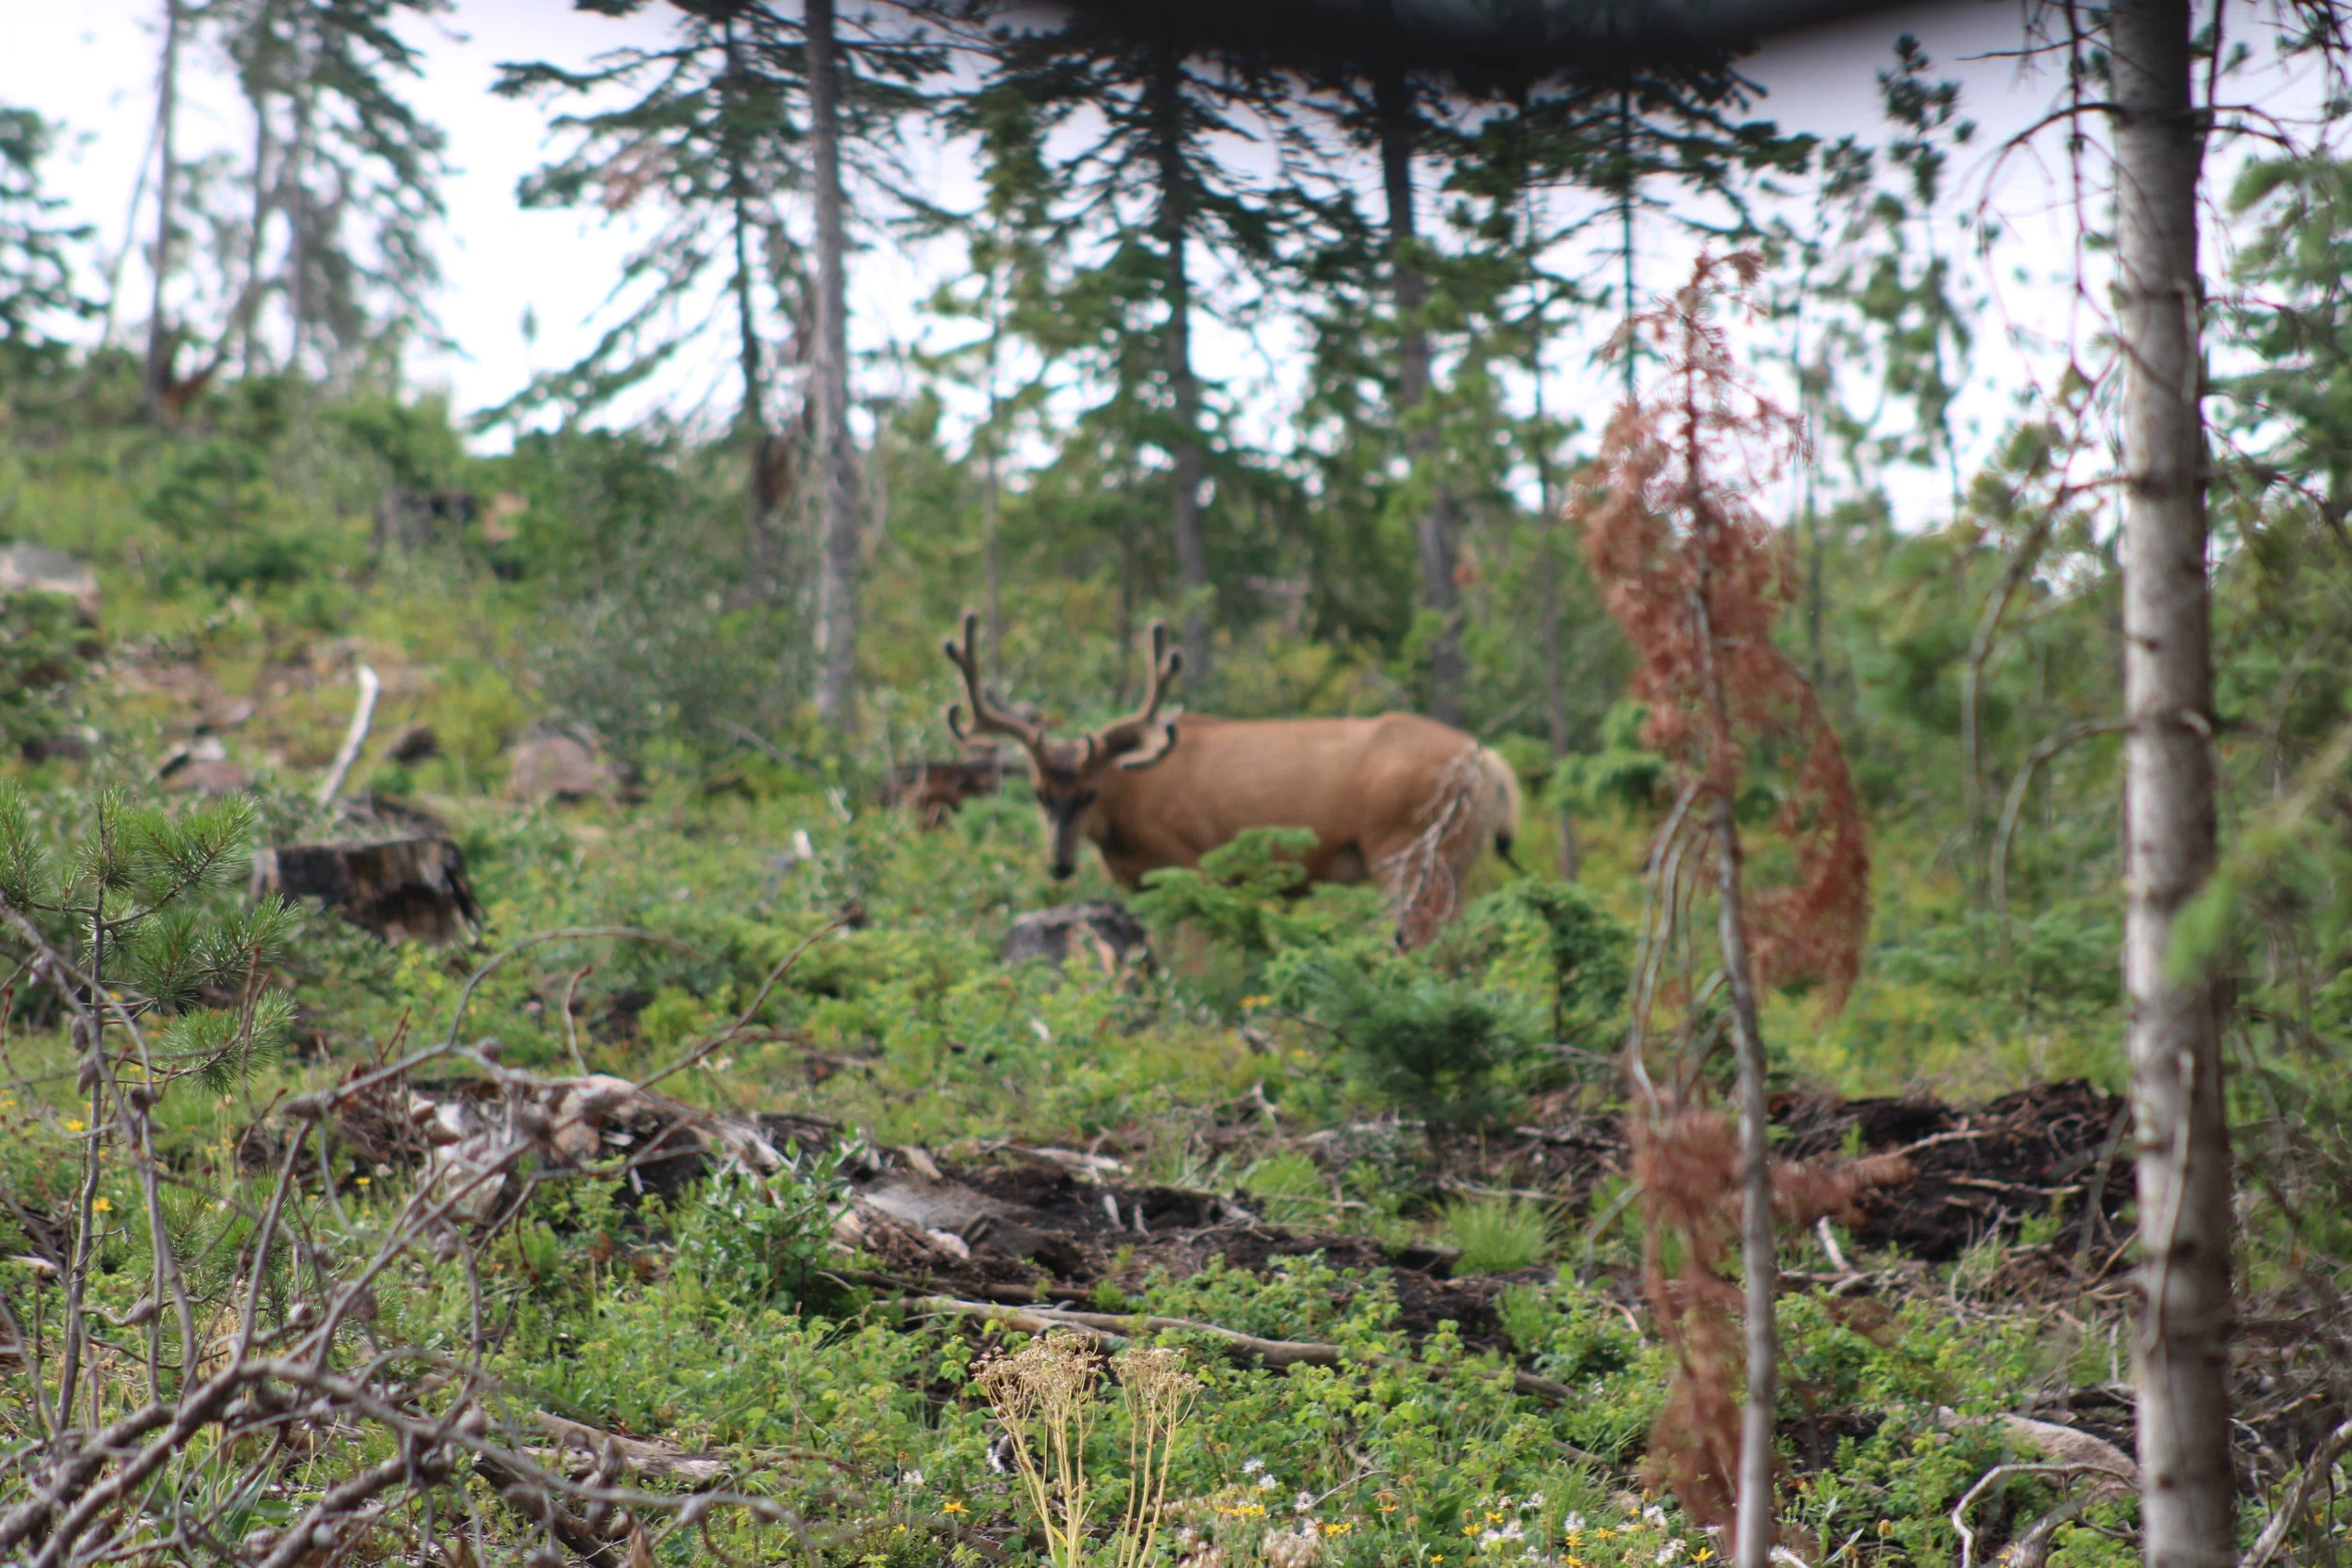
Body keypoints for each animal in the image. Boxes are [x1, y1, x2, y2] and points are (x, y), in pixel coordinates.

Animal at [941, 612, 1522, 943]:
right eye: (1039, 794)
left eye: (1089, 793)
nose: (1058, 864)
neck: (1127, 808)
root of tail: (1488, 761)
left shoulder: (1191, 866)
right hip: (1454, 858)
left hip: (1405, 846)